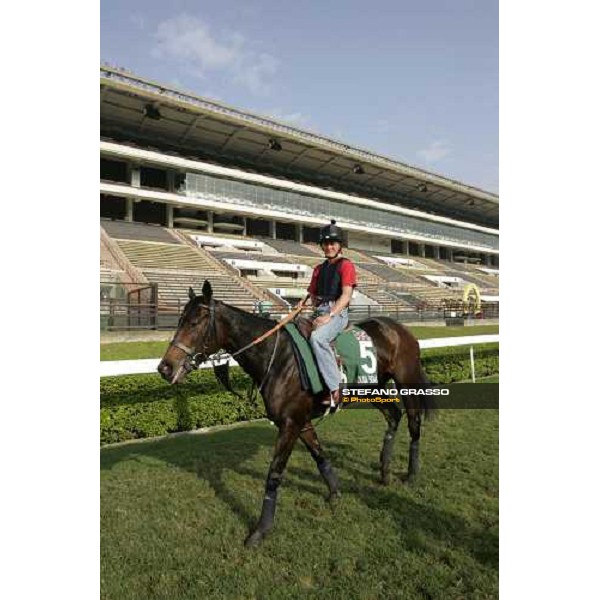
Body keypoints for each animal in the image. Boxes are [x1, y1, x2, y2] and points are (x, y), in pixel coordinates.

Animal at [157, 278, 434, 548]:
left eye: (195, 323)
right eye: (179, 321)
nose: (165, 368)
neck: (278, 356)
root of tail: (398, 328)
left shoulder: (290, 424)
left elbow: (274, 474)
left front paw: (260, 530)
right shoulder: (301, 422)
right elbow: (319, 455)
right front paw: (335, 492)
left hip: (406, 381)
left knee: (413, 420)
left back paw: (411, 473)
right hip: (370, 389)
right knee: (393, 416)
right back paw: (385, 471)